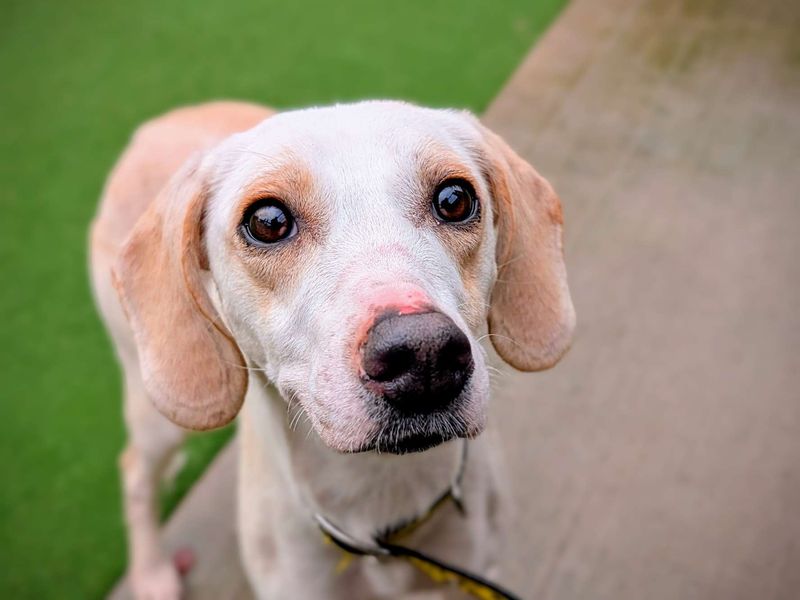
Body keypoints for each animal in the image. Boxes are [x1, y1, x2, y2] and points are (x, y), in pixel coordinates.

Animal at [89, 101, 576, 596]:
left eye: (454, 198)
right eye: (268, 222)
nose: (424, 355)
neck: (380, 492)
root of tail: (161, 123)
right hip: (157, 412)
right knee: (135, 472)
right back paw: (152, 573)